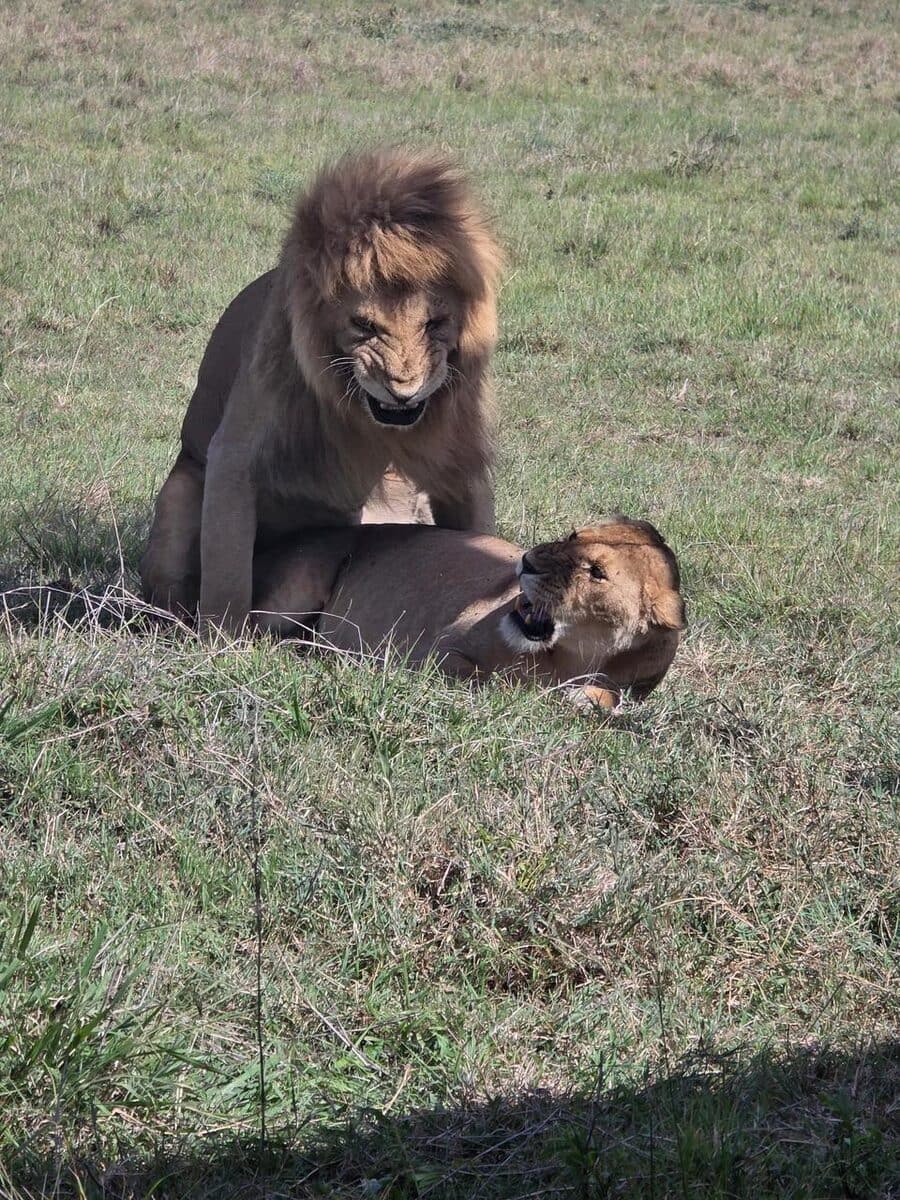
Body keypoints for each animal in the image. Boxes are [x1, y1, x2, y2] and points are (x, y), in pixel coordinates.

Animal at [139, 149, 501, 631]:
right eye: (364, 325)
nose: (403, 389)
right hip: (178, 501)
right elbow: (227, 573)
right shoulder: (234, 454)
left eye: (435, 324)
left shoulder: (458, 450)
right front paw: (222, 641)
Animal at [252, 516, 685, 710]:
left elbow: (610, 697)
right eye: (573, 536)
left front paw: (587, 698)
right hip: (294, 591)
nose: (527, 563)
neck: (571, 657)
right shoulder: (436, 653)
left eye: (596, 572)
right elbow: (495, 683)